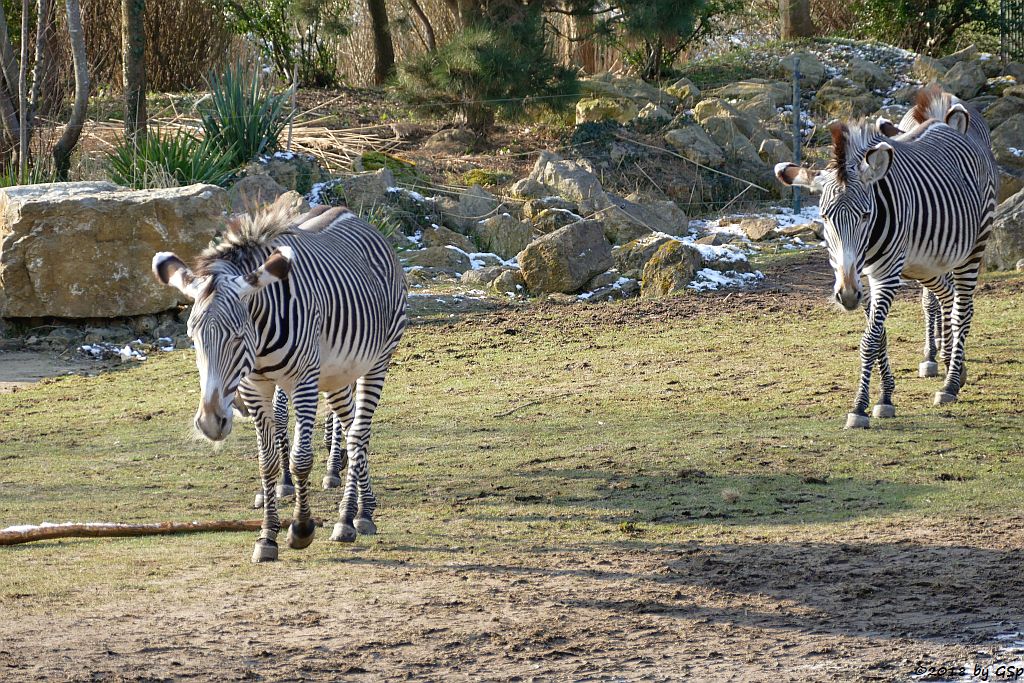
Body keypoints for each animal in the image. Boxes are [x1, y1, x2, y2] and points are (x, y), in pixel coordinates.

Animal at [152, 200, 407, 565]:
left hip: (378, 360)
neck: (259, 339)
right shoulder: (254, 387)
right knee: (349, 428)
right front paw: (267, 536)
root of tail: (351, 214)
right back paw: (360, 510)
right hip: (337, 373)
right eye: (192, 338)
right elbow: (268, 461)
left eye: (238, 336)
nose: (212, 423)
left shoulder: (302, 379)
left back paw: (352, 517)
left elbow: (300, 458)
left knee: (359, 433)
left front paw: (300, 528)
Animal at [774, 93, 991, 430]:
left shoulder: (885, 275)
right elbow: (880, 337)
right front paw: (885, 397)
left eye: (865, 215)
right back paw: (948, 361)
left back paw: (951, 384)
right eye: (825, 217)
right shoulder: (859, 277)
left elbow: (869, 339)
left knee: (962, 310)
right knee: (944, 295)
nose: (847, 296)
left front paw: (859, 407)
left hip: (973, 247)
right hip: (926, 263)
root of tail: (947, 124)